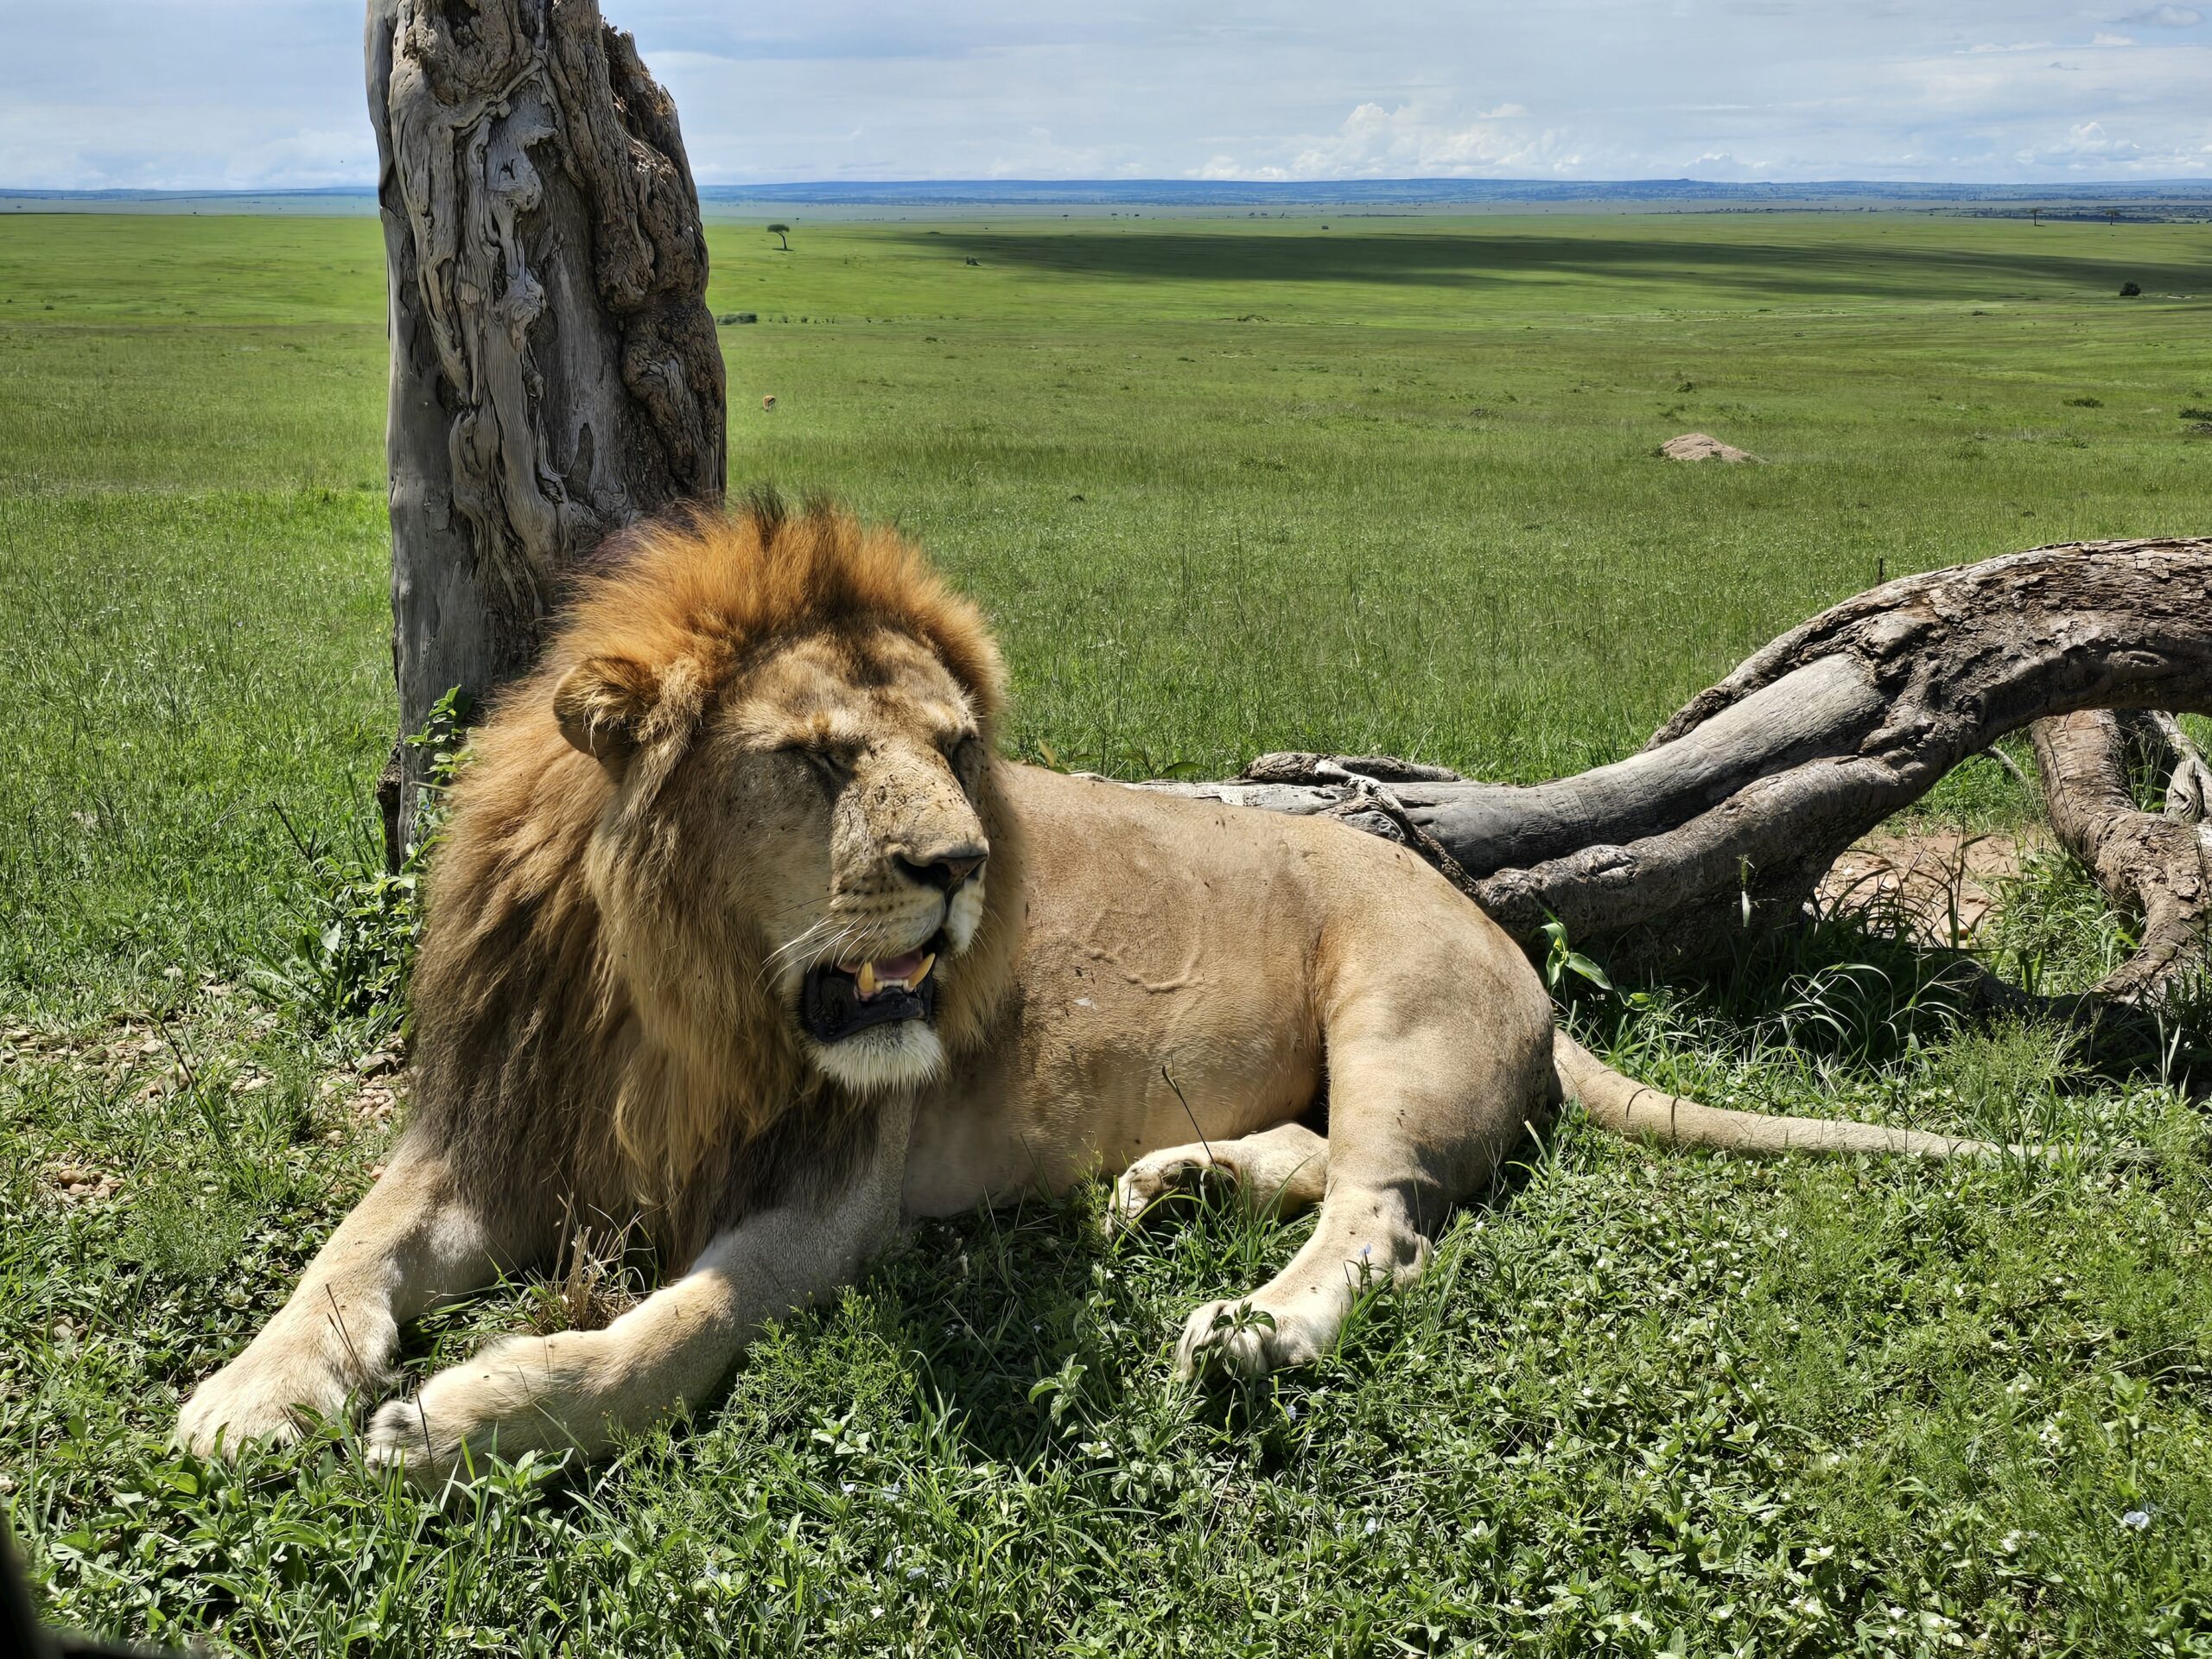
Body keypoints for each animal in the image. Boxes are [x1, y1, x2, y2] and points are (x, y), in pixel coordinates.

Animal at [177, 499, 2025, 1481]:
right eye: (815, 759)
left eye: (954, 748)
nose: (958, 867)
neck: (679, 1000)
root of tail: (1504, 941)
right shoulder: (492, 1129)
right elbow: (341, 1262)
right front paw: (246, 1396)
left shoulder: (830, 1199)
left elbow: (675, 1325)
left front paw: (468, 1413)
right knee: (1324, 1165)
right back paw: (1172, 1184)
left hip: (1400, 1018)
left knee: (1386, 1213)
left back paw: (1252, 1335)